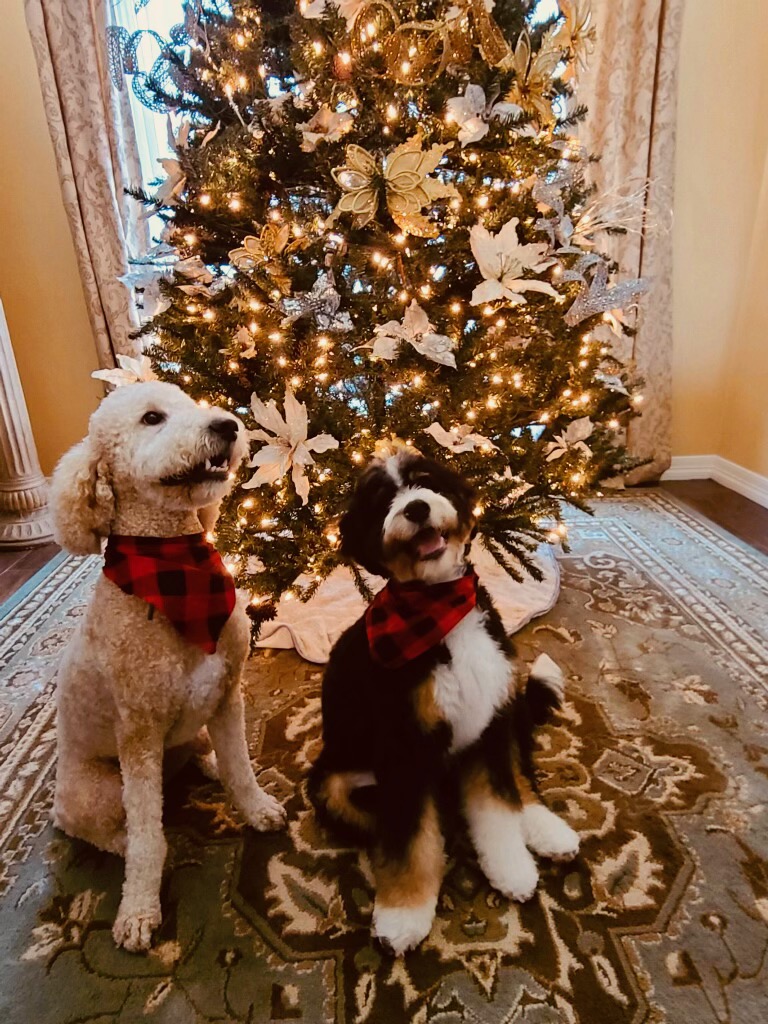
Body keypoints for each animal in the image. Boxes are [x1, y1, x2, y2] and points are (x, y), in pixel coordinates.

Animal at [50, 382, 286, 950]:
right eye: (152, 418)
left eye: (190, 404)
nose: (227, 425)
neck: (177, 568)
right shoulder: (138, 735)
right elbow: (145, 837)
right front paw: (139, 909)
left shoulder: (226, 695)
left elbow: (240, 769)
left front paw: (256, 807)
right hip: (94, 792)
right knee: (110, 832)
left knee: (203, 755)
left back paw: (206, 763)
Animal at [309, 452, 581, 954]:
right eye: (383, 500)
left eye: (425, 482)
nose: (416, 508)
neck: (440, 611)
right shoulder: (404, 749)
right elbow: (409, 836)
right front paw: (404, 914)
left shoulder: (489, 725)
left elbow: (499, 805)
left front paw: (512, 868)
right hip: (332, 781)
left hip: (508, 708)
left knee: (521, 780)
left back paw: (545, 830)